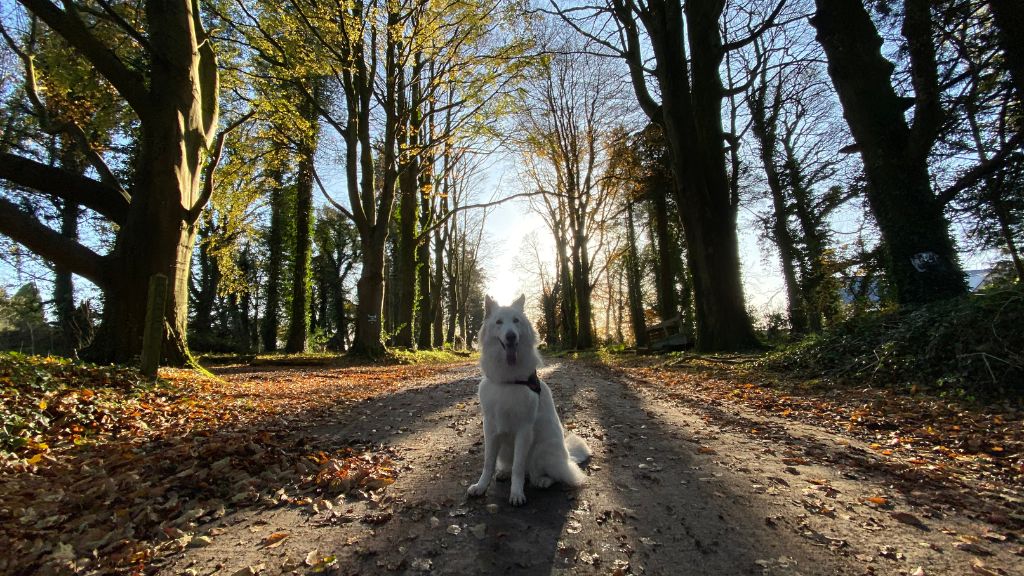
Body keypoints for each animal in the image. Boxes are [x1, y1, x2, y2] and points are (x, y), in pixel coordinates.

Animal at [466, 295, 593, 502]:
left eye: (516, 321)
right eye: (499, 322)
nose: (511, 336)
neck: (509, 381)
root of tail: (567, 457)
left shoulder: (524, 430)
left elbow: (518, 467)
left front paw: (516, 494)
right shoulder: (491, 428)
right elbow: (488, 463)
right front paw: (481, 486)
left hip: (541, 451)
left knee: (550, 474)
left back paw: (542, 480)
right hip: (505, 450)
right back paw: (504, 472)